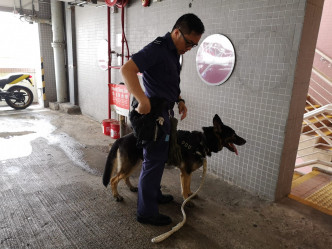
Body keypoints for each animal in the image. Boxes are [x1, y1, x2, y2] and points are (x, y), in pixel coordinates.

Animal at [102, 114, 245, 201]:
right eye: (233, 134)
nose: (245, 141)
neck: (202, 141)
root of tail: (122, 138)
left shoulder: (188, 172)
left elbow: (188, 185)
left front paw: (190, 195)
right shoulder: (185, 172)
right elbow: (185, 188)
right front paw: (187, 200)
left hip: (134, 163)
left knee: (124, 177)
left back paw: (131, 187)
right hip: (130, 164)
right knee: (114, 180)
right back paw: (117, 195)